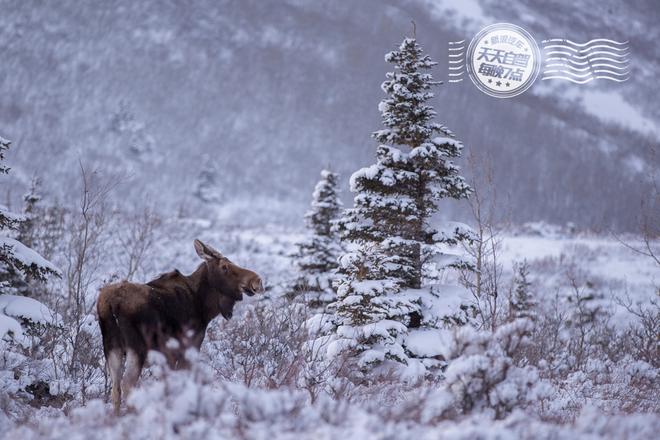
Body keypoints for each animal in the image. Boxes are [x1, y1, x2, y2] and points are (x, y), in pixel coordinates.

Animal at [98, 239, 262, 414]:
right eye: (225, 267)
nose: (257, 280)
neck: (204, 306)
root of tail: (111, 305)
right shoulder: (188, 348)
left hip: (112, 348)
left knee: (115, 388)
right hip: (137, 348)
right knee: (128, 384)